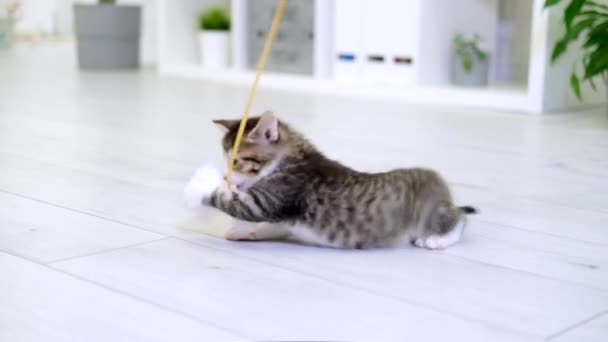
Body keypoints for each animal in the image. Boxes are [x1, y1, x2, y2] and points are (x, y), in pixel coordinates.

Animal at [183, 111, 478, 248]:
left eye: (236, 161)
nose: (227, 175)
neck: (288, 160)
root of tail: (439, 184)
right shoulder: (285, 217)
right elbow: (272, 226)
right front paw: (247, 232)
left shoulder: (272, 199)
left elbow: (231, 201)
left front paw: (201, 183)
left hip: (431, 216)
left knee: (459, 219)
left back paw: (438, 240)